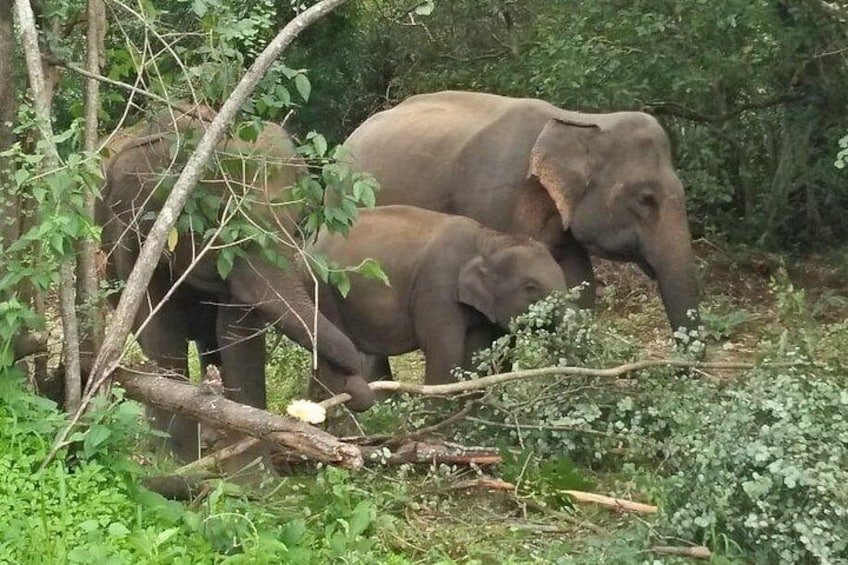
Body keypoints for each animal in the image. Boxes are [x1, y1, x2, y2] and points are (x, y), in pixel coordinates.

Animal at [97, 108, 375, 461]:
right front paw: (180, 461)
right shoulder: (132, 242)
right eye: (219, 221)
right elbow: (161, 333)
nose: (354, 384)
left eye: (297, 220)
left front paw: (252, 467)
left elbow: (237, 335)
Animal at [305, 205, 566, 385]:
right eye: (530, 288)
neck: (489, 239)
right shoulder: (437, 288)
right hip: (324, 290)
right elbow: (444, 355)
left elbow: (474, 357)